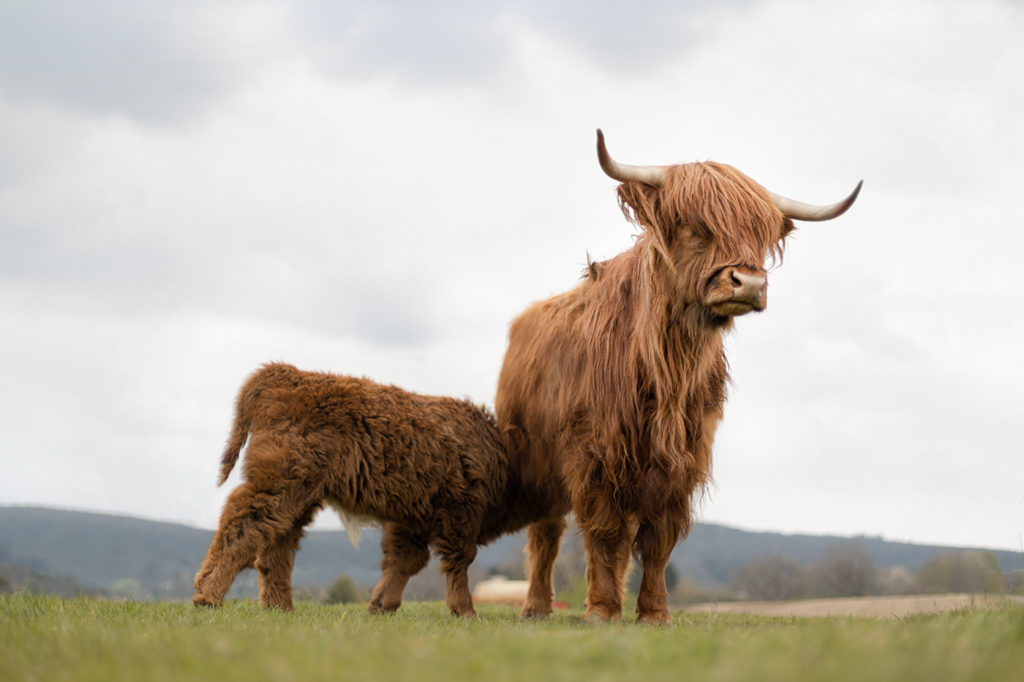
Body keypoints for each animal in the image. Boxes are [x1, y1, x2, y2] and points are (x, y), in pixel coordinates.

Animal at [191, 360, 516, 614]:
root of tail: (285, 372)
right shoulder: (459, 512)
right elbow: (458, 560)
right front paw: (465, 612)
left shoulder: (412, 519)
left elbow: (406, 560)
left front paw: (381, 606)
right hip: (280, 483)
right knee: (243, 522)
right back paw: (208, 595)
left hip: (298, 496)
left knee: (276, 543)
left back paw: (280, 608)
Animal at [495, 129, 864, 622]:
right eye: (696, 226)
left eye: (760, 233)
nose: (749, 283)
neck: (669, 368)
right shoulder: (594, 453)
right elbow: (603, 534)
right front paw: (601, 611)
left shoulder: (683, 459)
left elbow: (657, 541)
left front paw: (653, 613)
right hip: (532, 456)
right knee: (546, 534)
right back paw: (535, 607)